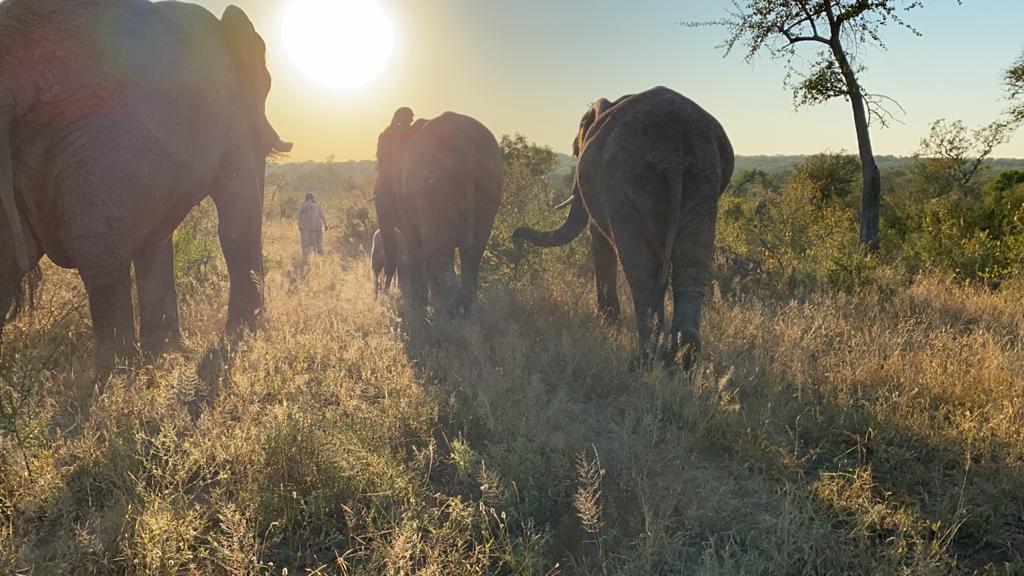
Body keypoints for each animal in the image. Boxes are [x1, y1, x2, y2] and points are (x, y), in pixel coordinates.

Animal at [0, 0, 291, 374]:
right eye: (266, 85)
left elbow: (158, 236)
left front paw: (167, 353)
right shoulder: (231, 114)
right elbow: (239, 217)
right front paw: (245, 334)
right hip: (105, 142)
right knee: (101, 256)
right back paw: (118, 374)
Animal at [393, 112, 503, 316]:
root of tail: (463, 144)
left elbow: (414, 241)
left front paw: (418, 309)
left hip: (433, 187)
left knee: (439, 248)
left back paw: (454, 310)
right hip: (489, 179)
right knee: (473, 251)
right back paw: (468, 309)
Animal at [513, 86, 734, 369]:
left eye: (575, 151)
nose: (515, 238)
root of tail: (673, 151)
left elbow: (599, 238)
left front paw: (608, 323)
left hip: (627, 179)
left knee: (640, 270)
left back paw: (645, 358)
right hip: (705, 176)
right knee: (691, 265)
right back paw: (684, 359)